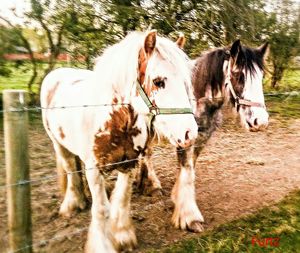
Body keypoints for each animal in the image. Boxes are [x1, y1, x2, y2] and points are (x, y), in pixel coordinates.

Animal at [41, 30, 198, 252]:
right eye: (158, 81)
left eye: (186, 83)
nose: (190, 133)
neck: (115, 120)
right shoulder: (94, 169)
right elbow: (101, 209)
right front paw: (103, 244)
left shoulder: (129, 163)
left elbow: (122, 200)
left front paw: (122, 236)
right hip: (59, 144)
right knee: (71, 170)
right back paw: (72, 204)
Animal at [138, 39, 270, 233]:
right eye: (239, 76)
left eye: (261, 77)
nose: (260, 122)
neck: (198, 99)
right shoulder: (184, 140)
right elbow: (187, 171)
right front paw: (189, 217)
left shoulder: (202, 137)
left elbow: (189, 169)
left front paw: (178, 198)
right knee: (146, 154)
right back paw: (153, 186)